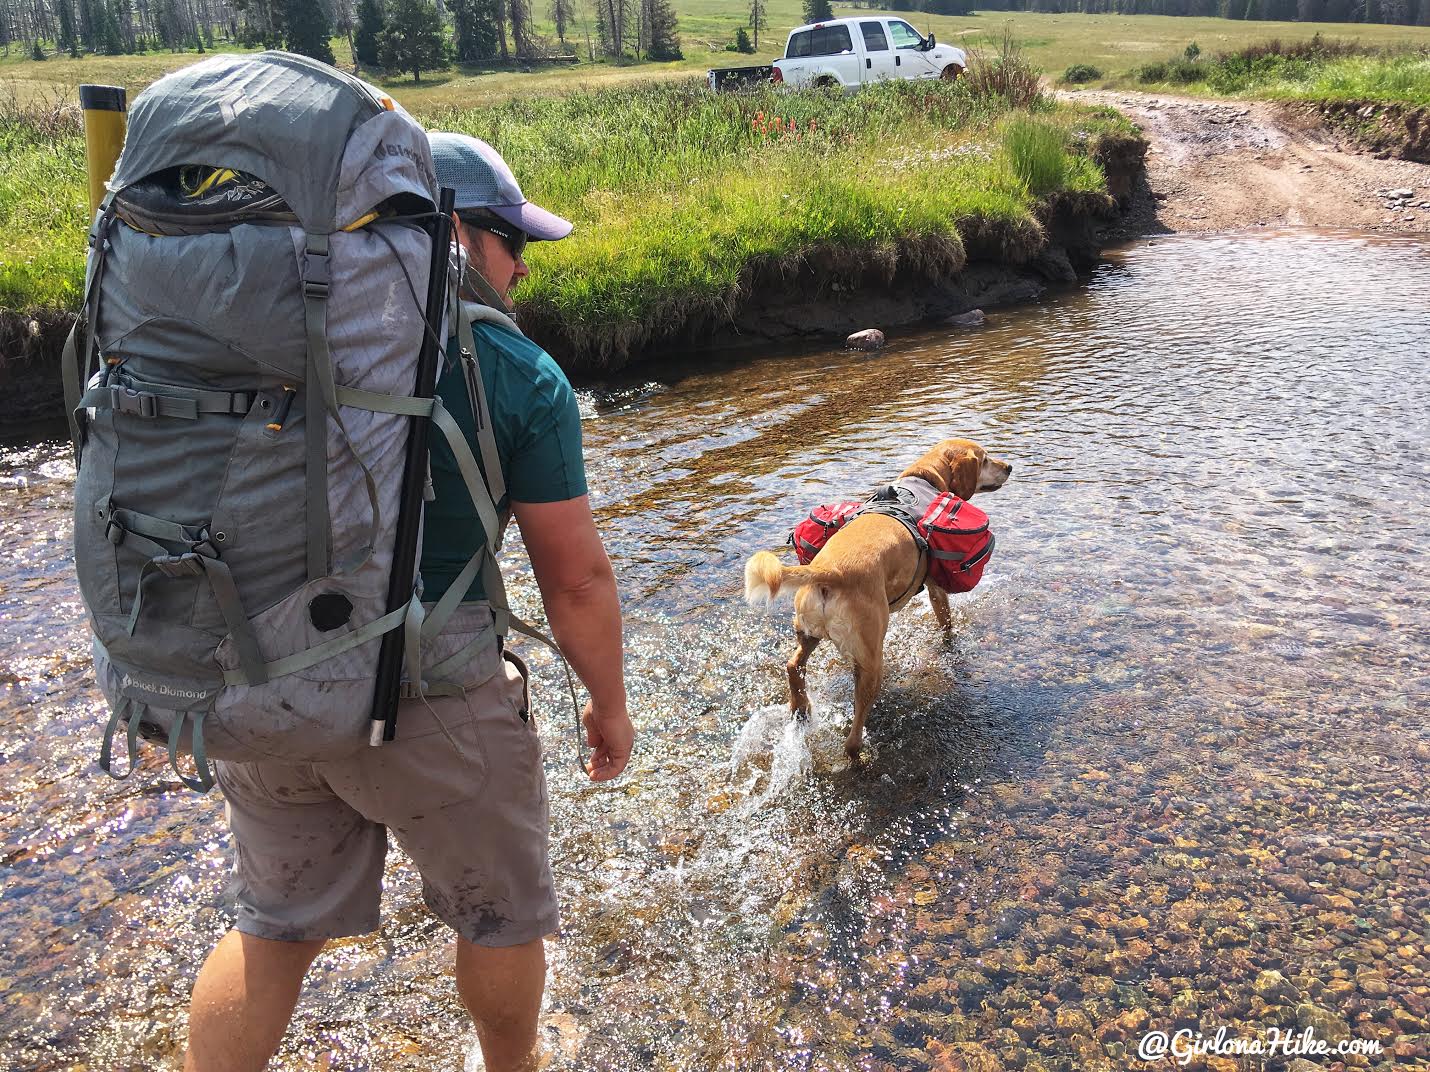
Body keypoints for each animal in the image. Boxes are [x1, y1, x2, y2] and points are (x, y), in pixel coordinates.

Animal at [743, 440, 1012, 760]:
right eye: (985, 460)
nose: (1009, 467)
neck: (923, 477)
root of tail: (829, 572)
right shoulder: (936, 589)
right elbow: (946, 624)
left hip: (808, 634)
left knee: (793, 667)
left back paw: (801, 711)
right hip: (871, 661)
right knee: (853, 736)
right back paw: (858, 752)